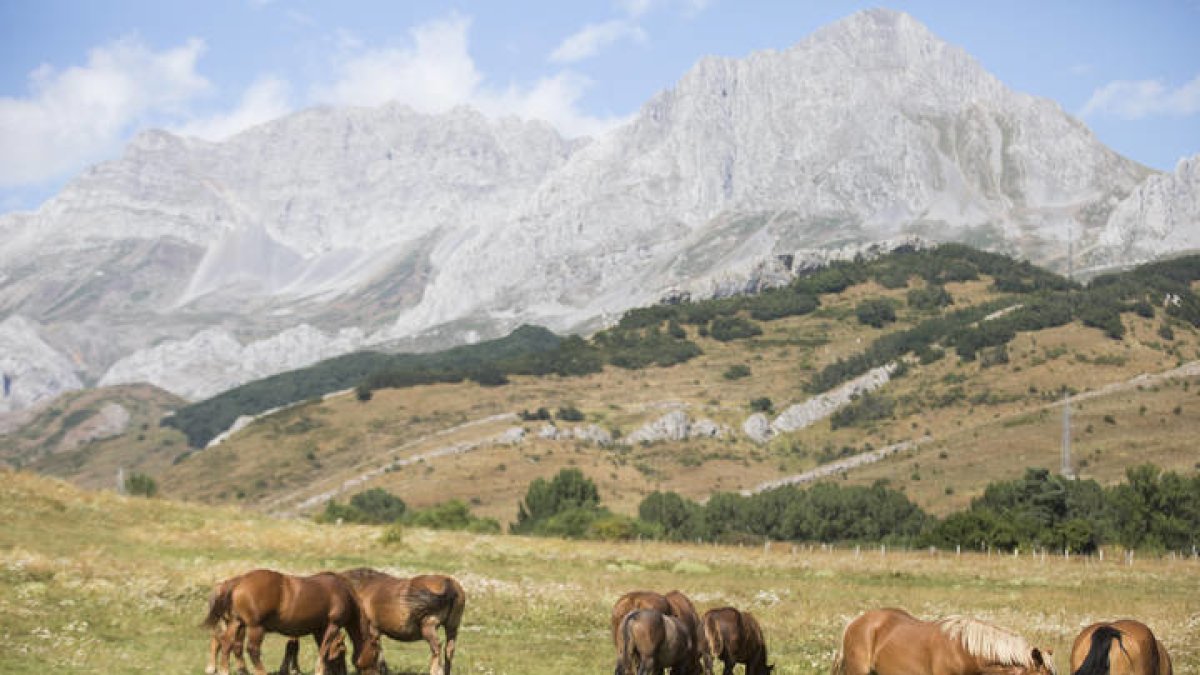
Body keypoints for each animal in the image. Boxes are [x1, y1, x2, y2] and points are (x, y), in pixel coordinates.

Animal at [204, 569, 381, 675]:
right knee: (252, 649)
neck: (345, 593)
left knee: (227, 643)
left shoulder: (319, 629)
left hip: (236, 622)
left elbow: (323, 649)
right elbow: (324, 651)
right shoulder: (333, 624)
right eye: (375, 654)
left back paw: (225, 670)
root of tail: (238, 581)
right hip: (255, 627)